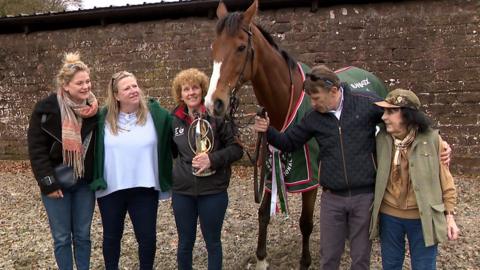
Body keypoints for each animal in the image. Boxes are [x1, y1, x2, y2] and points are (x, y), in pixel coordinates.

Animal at [204, 1, 316, 268]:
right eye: (214, 47)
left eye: (241, 47)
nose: (214, 103)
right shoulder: (267, 168)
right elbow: (263, 214)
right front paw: (262, 259)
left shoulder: (311, 180)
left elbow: (306, 223)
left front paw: (305, 261)